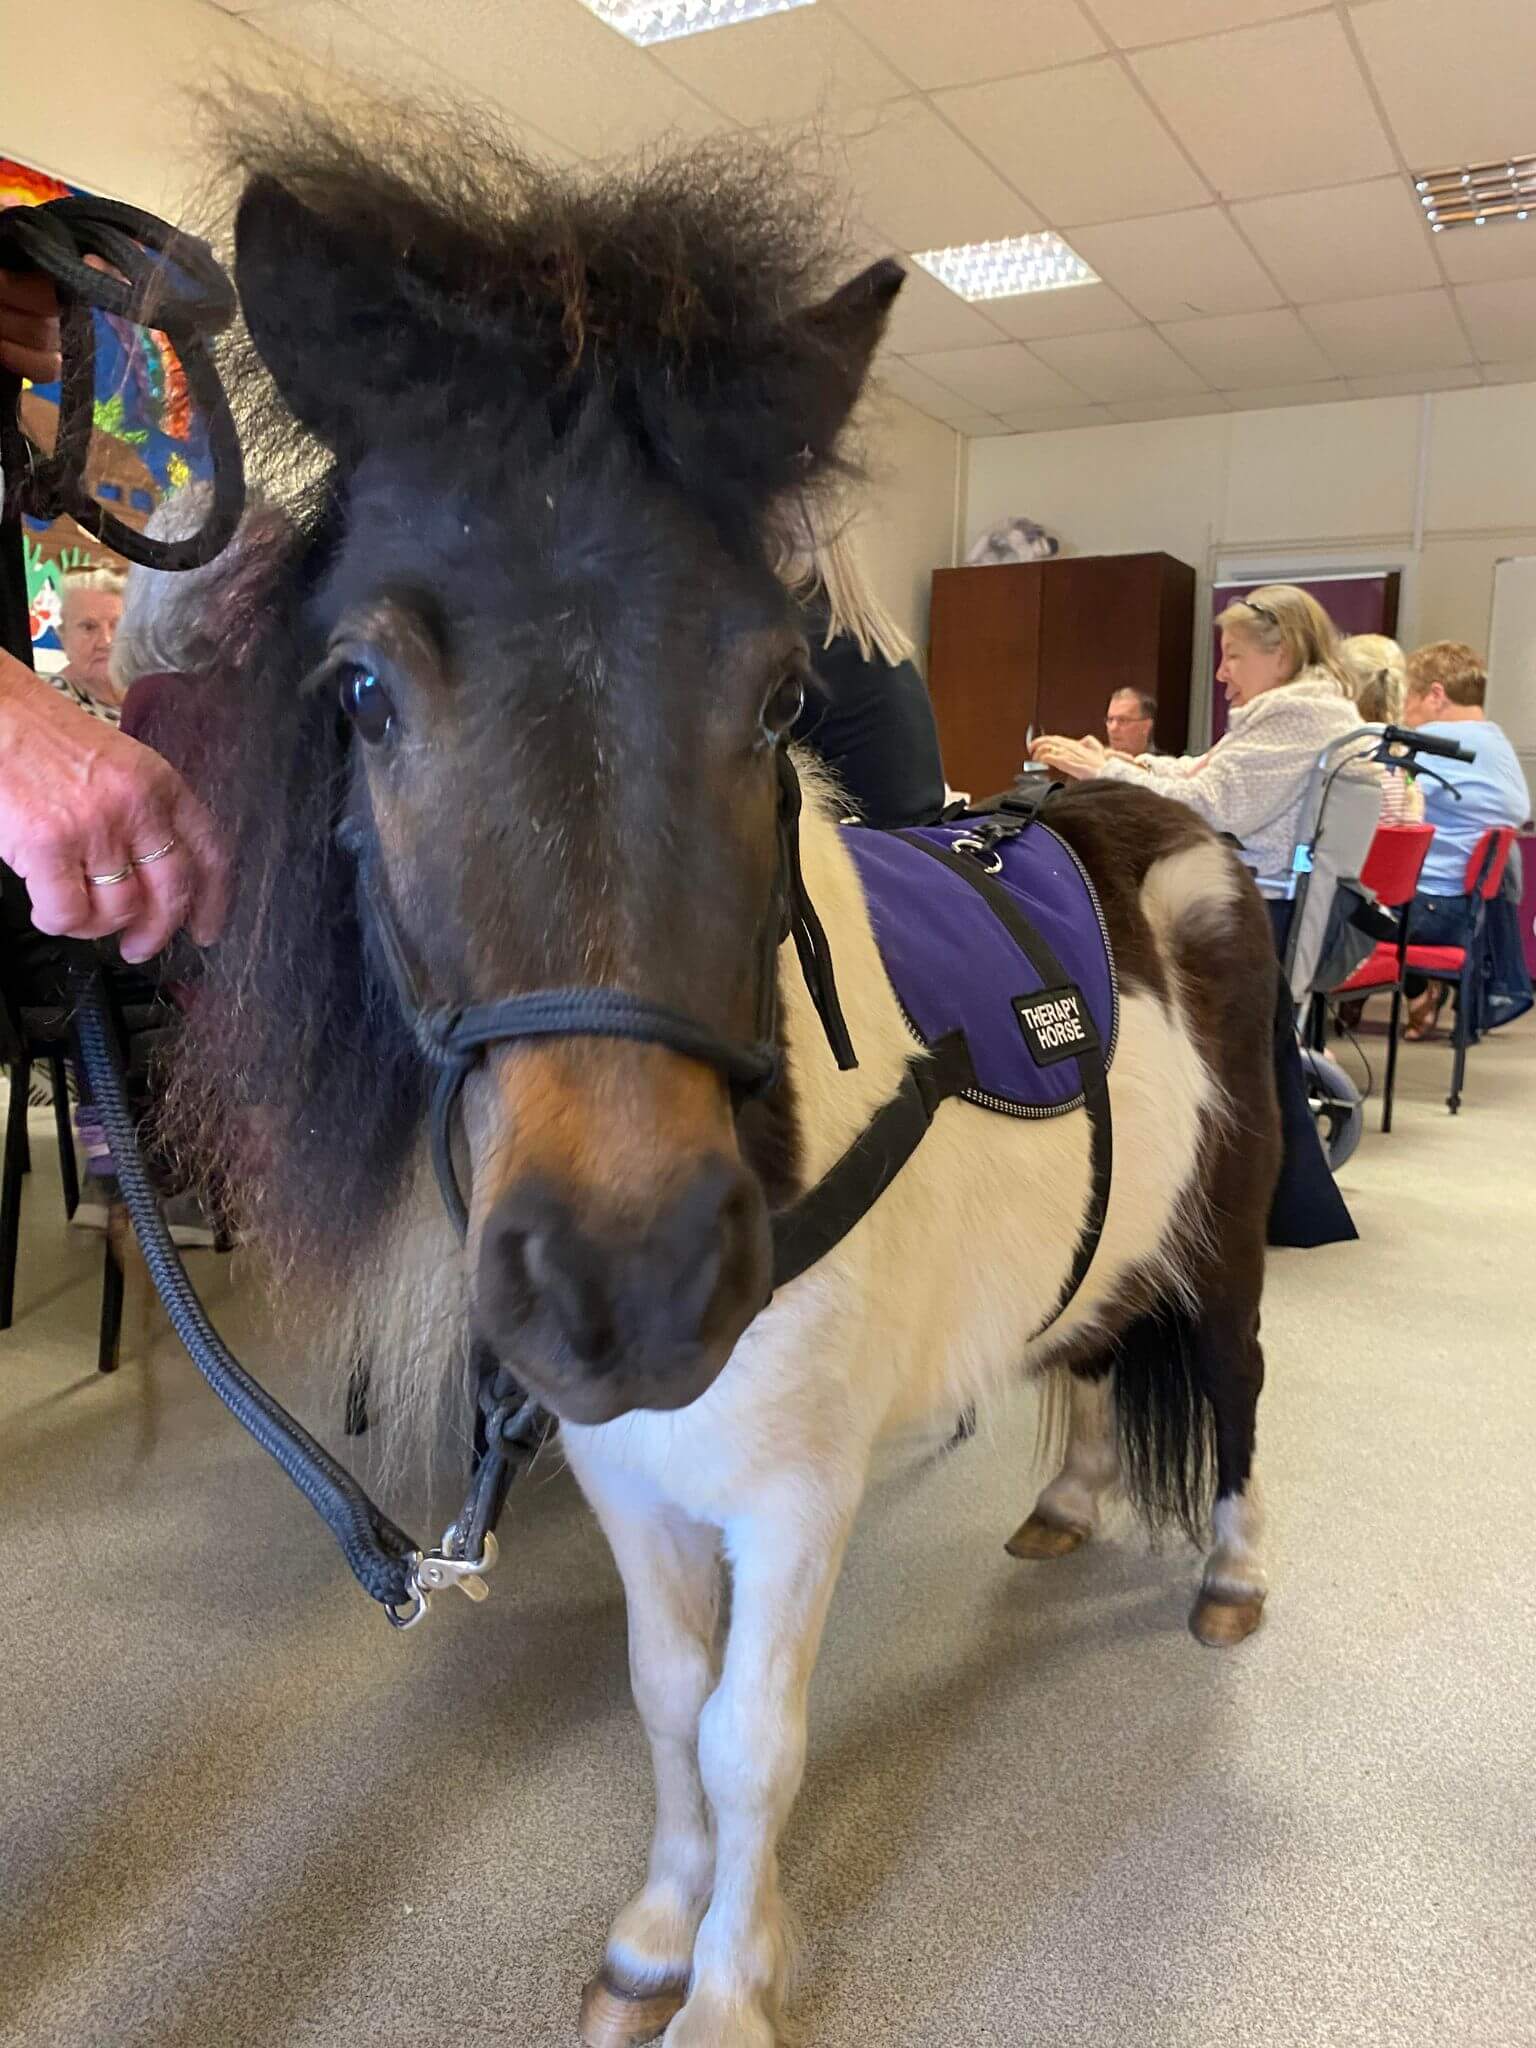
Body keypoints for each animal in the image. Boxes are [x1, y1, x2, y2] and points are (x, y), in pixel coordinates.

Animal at [166, 102, 1283, 2048]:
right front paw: (650, 1936)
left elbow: (755, 1739)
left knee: (1229, 1383)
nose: (632, 1283)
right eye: (362, 685)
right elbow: (664, 1709)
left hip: (1225, 1234)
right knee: (1084, 1354)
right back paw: (1064, 1506)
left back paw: (1227, 1574)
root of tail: (1177, 826)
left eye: (778, 696)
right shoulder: (639, 1489)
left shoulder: (795, 1496)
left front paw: (729, 1989)